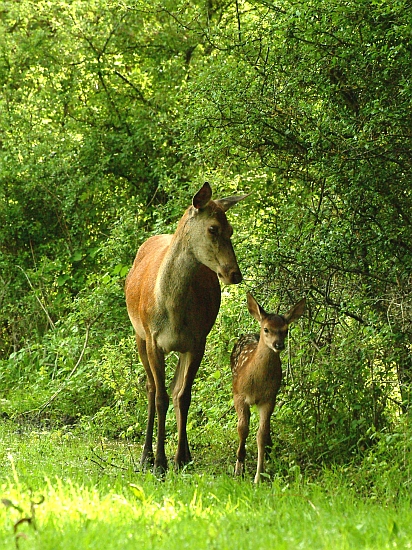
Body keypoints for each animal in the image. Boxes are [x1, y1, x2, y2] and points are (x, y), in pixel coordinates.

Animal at [125, 182, 248, 474]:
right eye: (213, 228)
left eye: (231, 230)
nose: (235, 274)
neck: (172, 310)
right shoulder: (153, 340)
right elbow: (160, 397)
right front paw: (159, 462)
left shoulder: (197, 341)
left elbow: (184, 396)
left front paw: (180, 457)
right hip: (138, 335)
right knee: (151, 388)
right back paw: (145, 455)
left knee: (175, 388)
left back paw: (185, 454)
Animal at [232, 294, 306, 484]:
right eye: (266, 329)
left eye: (285, 330)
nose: (278, 345)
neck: (256, 384)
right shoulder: (239, 395)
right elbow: (242, 428)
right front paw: (239, 467)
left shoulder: (269, 398)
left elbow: (261, 434)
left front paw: (259, 475)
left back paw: (270, 450)